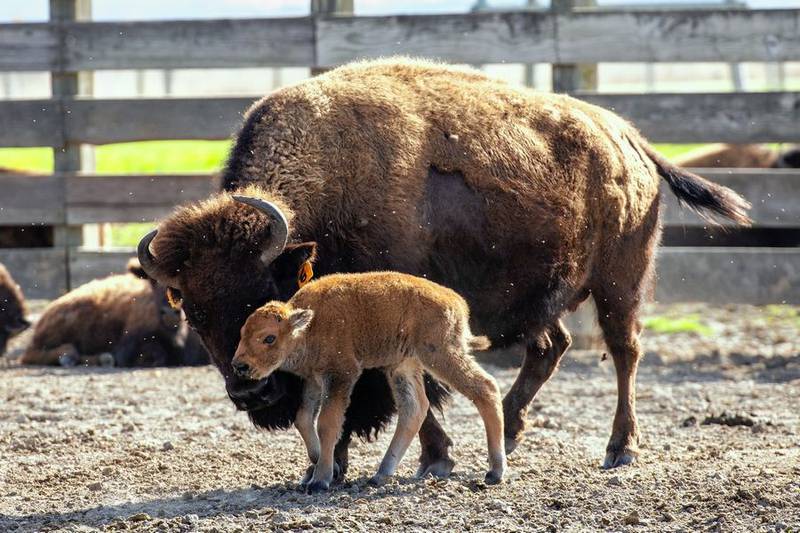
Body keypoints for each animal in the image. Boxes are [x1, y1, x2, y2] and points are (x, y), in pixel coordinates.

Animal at [21, 256, 206, 366]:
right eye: (152, 281)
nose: (169, 313)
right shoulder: (129, 343)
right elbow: (154, 355)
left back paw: (102, 358)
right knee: (31, 354)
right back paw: (69, 356)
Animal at [233, 272, 506, 492]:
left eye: (269, 338)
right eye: (242, 333)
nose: (239, 366)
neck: (310, 325)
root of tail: (457, 302)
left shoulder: (341, 375)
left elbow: (327, 424)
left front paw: (321, 480)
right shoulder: (314, 380)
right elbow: (303, 418)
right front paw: (321, 461)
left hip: (439, 354)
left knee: (486, 388)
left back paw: (495, 472)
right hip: (403, 365)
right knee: (414, 409)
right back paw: (380, 474)